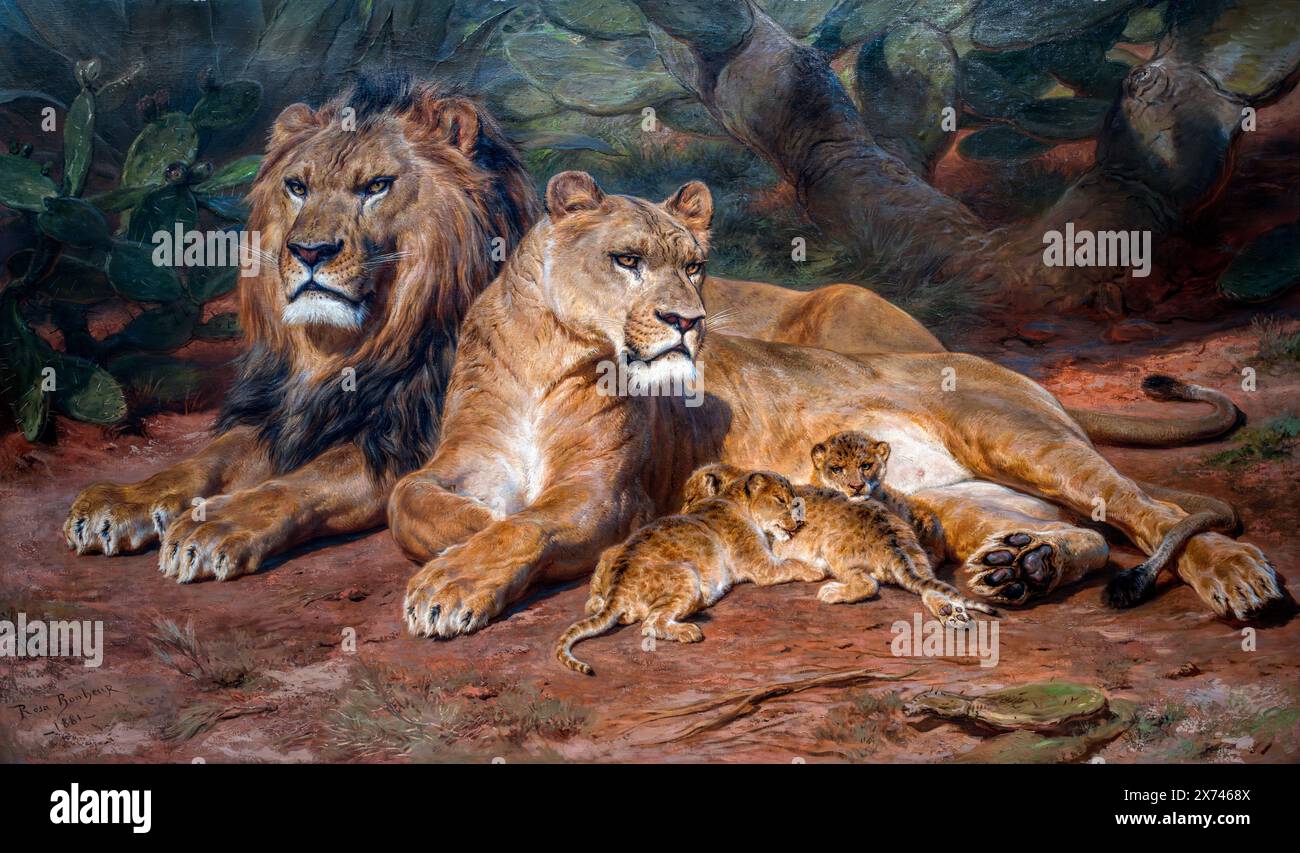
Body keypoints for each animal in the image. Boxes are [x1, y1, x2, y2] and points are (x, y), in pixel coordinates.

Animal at [389, 170, 1282, 639]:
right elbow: (411, 498)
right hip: (957, 496)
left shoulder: (607, 494)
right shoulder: (461, 462)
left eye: (696, 264)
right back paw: (1024, 567)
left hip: (1010, 434)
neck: (547, 352)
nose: (689, 322)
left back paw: (1237, 574)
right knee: (1083, 532)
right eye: (626, 259)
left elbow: (527, 522)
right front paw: (458, 544)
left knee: (1146, 508)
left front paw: (453, 581)